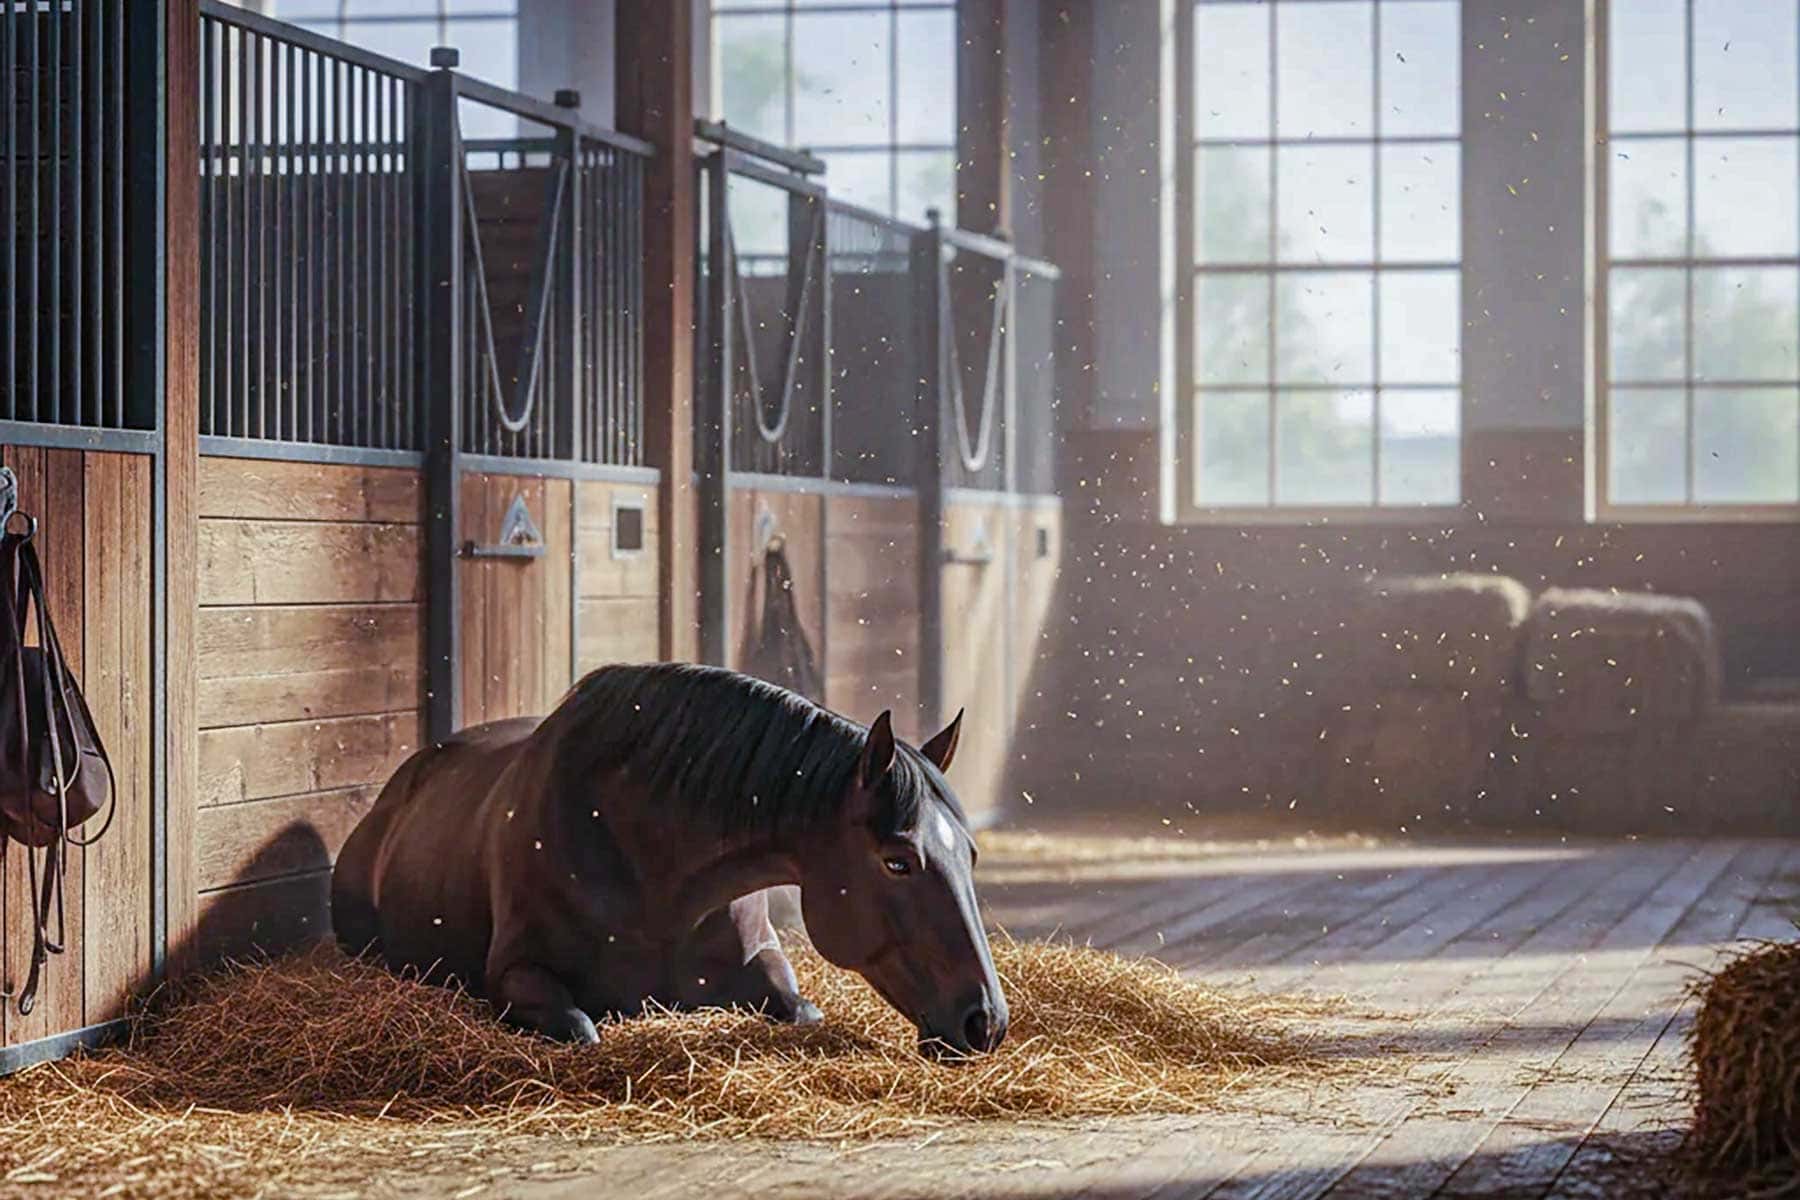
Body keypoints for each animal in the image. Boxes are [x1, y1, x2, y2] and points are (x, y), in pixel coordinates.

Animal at [330, 662, 1007, 1057]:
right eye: (897, 861)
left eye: (971, 854)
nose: (987, 1022)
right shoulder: (517, 976)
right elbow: (582, 1030)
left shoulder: (768, 963)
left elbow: (800, 1011)